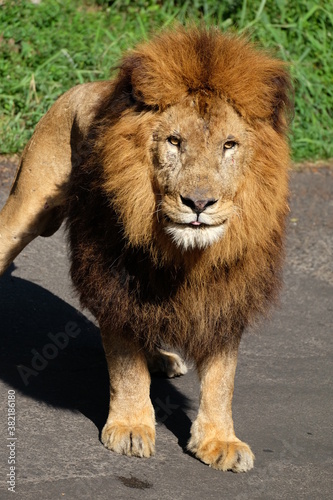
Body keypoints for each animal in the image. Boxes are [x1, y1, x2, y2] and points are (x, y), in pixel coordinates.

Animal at [0, 27, 290, 472]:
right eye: (174, 141)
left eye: (229, 145)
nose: (199, 203)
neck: (185, 255)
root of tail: (89, 86)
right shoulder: (112, 276)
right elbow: (125, 364)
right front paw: (131, 426)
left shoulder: (226, 292)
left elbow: (222, 377)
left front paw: (219, 439)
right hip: (26, 206)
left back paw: (161, 359)